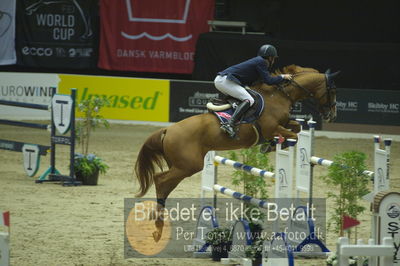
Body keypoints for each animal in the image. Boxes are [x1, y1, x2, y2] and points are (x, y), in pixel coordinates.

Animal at [134, 65, 338, 241]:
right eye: (332, 90)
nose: (332, 114)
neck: (279, 96)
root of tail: (168, 130)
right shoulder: (272, 128)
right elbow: (293, 136)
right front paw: (272, 145)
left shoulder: (285, 123)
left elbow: (296, 127)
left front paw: (270, 145)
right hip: (188, 166)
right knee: (161, 180)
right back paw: (158, 225)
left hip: (180, 166)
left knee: (165, 185)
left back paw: (157, 223)